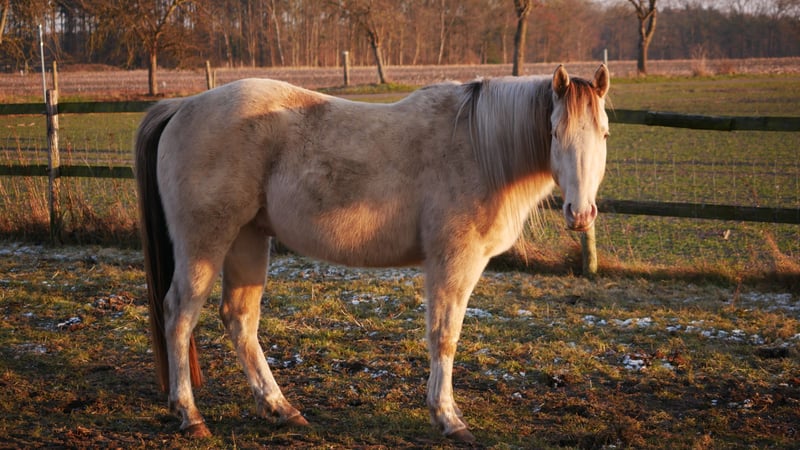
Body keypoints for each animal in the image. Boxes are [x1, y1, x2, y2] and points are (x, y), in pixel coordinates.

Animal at [134, 64, 610, 443]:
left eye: (604, 133)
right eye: (554, 132)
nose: (581, 213)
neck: (477, 146)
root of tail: (183, 106)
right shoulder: (453, 261)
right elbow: (444, 336)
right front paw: (449, 418)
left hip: (247, 239)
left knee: (239, 319)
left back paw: (280, 409)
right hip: (205, 243)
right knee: (179, 315)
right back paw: (190, 414)